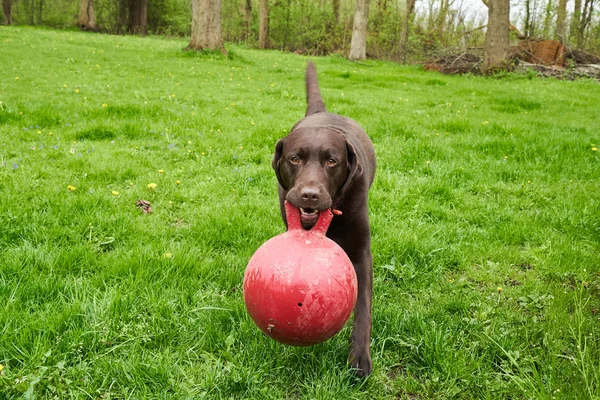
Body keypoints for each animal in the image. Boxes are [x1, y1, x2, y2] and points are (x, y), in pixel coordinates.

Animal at [272, 61, 376, 376]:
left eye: (332, 161)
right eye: (295, 158)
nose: (309, 195)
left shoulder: (361, 253)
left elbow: (363, 307)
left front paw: (359, 357)